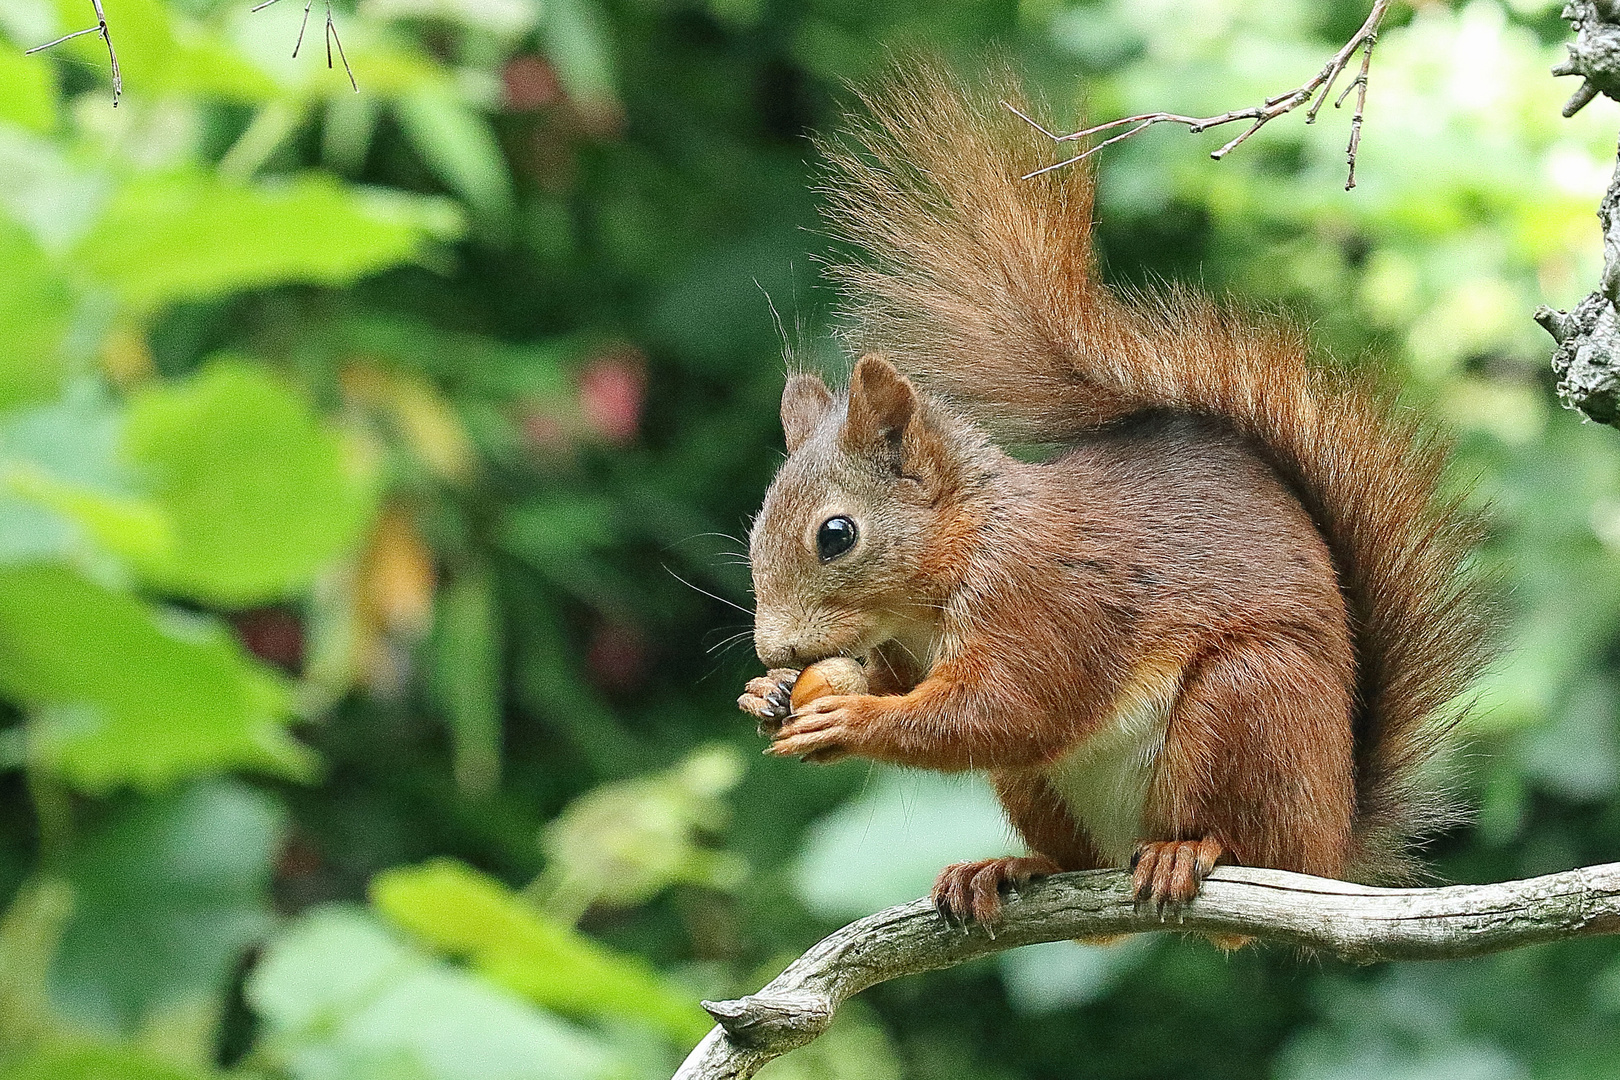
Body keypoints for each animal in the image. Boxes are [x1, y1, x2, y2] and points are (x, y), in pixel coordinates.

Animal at [738, 65, 1490, 932]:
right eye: (755, 528)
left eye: (836, 534)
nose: (775, 652)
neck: (966, 547)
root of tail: (1334, 846)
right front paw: (766, 695)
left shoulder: (1043, 602)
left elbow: (1004, 710)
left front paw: (852, 718)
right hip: (1041, 788)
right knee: (1076, 862)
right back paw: (1006, 869)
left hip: (1248, 699)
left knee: (1246, 839)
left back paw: (1188, 852)